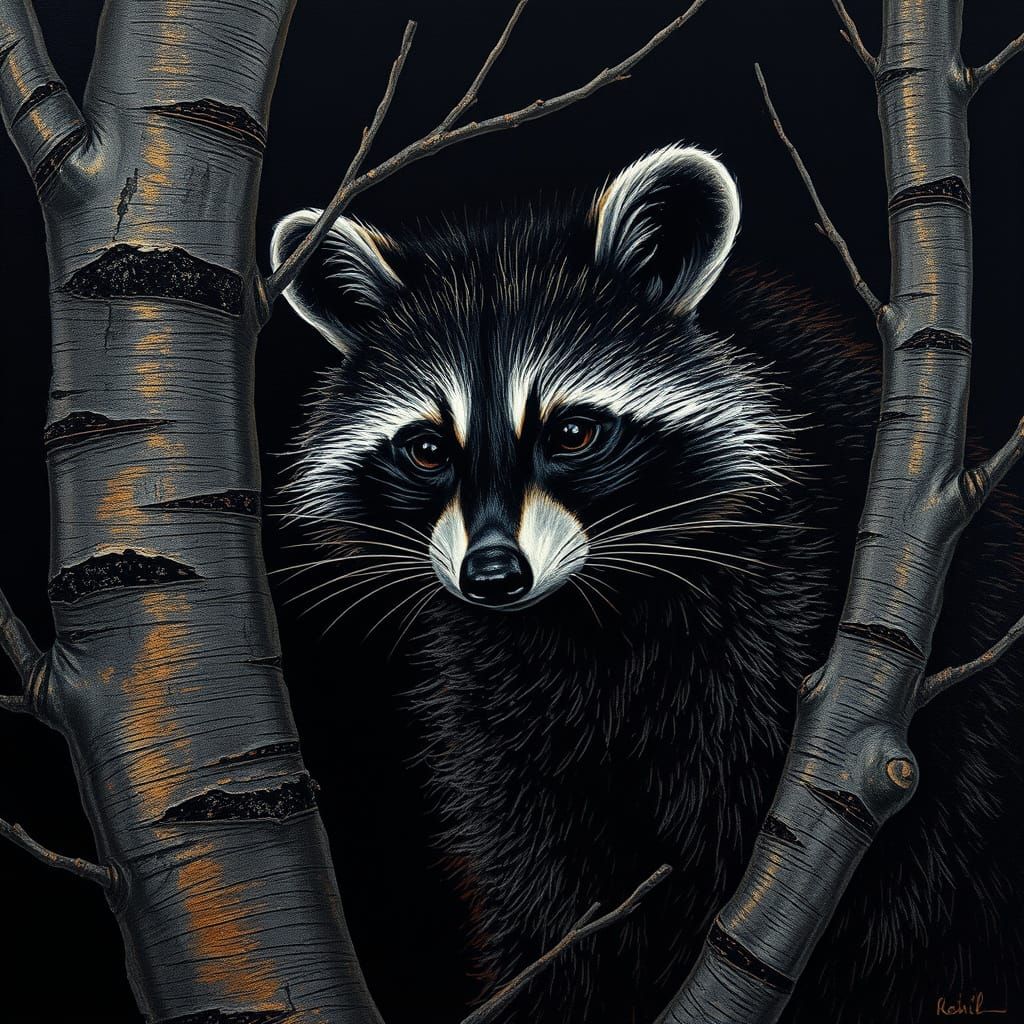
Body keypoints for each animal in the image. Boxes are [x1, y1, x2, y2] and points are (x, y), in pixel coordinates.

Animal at [271, 146, 1024, 1023]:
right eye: (427, 449)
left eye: (572, 432)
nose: (493, 576)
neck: (584, 604)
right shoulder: (495, 688)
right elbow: (534, 853)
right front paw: (552, 979)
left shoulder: (787, 590)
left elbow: (742, 799)